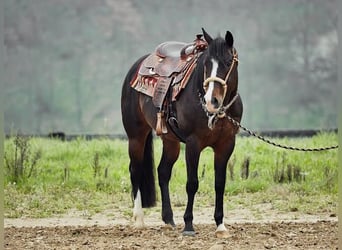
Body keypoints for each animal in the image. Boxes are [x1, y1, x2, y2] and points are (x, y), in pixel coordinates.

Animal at [121, 28, 243, 237]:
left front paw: (220, 225)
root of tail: (137, 67)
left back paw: (168, 219)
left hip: (170, 141)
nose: (211, 101)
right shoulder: (194, 144)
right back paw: (139, 220)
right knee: (135, 170)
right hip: (136, 136)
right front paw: (188, 225)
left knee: (163, 172)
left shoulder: (226, 144)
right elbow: (192, 183)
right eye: (206, 64)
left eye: (228, 62)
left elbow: (220, 183)